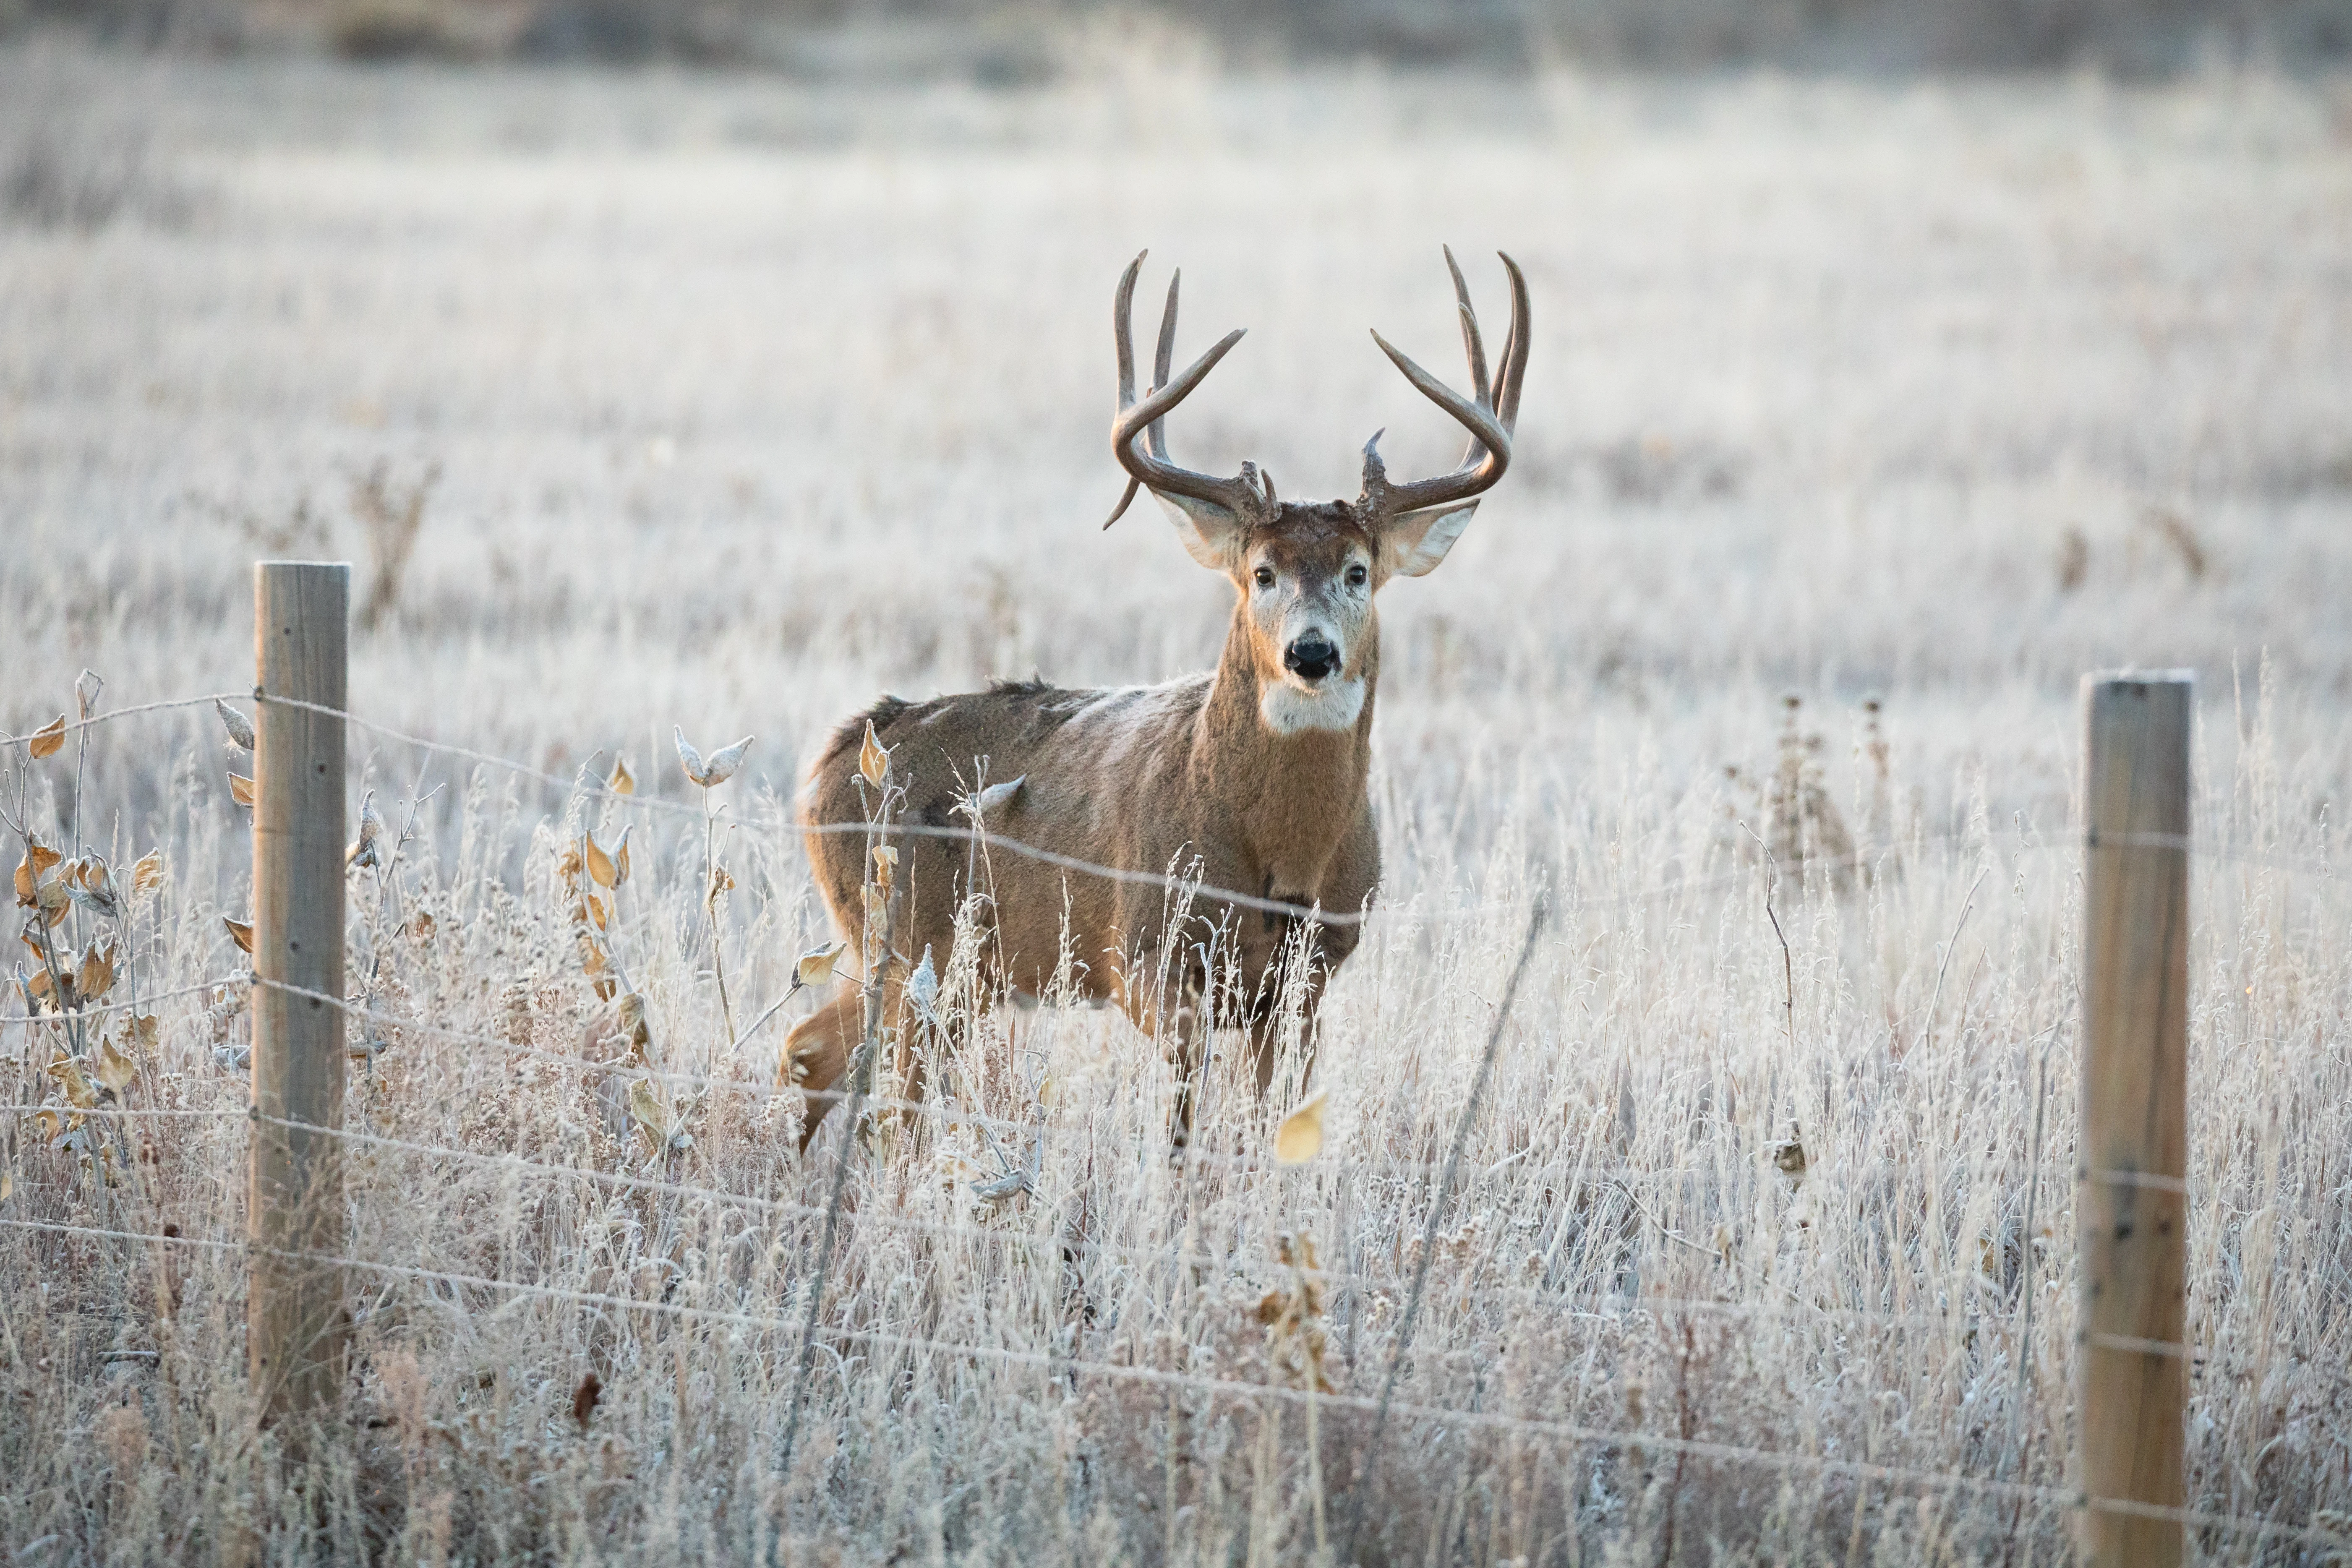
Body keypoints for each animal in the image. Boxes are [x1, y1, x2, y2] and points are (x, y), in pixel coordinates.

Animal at [781, 248, 1533, 1152]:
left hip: (937, 967)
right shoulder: (1146, 960)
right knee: (884, 1096)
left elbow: (1275, 1127)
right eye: (1262, 572)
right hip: (905, 947)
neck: (1277, 861)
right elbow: (1178, 1131)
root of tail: (830, 758)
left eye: (1358, 570)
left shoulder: (1310, 980)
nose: (1311, 652)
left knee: (811, 1050)